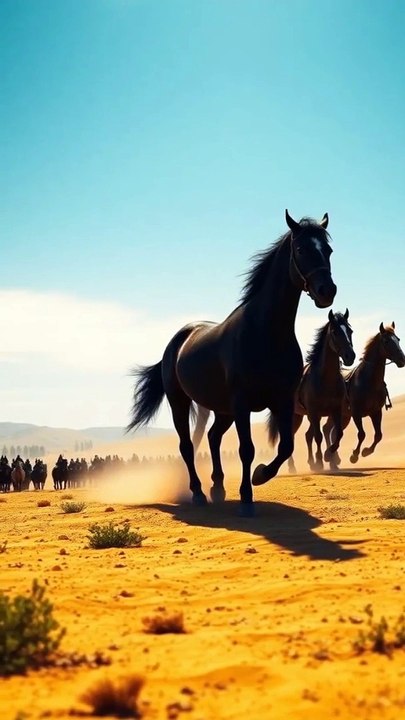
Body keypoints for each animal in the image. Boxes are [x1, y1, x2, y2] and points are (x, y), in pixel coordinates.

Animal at [128, 210, 337, 515]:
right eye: (300, 249)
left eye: (328, 250)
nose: (327, 291)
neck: (265, 333)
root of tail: (176, 342)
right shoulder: (242, 403)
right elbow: (246, 449)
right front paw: (247, 498)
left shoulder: (282, 401)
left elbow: (285, 446)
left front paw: (260, 475)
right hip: (182, 402)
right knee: (187, 446)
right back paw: (199, 493)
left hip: (222, 409)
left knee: (213, 437)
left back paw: (217, 487)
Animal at [269, 309, 355, 473]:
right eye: (334, 332)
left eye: (350, 331)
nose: (350, 356)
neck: (325, 379)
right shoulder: (314, 412)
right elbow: (318, 436)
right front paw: (321, 461)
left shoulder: (335, 410)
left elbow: (338, 433)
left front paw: (329, 458)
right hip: (296, 416)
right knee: (293, 436)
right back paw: (293, 467)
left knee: (307, 435)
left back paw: (311, 463)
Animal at [323, 322, 405, 465]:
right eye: (386, 341)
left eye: (398, 339)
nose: (402, 359)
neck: (369, 381)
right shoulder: (356, 413)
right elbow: (362, 434)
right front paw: (354, 455)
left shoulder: (376, 412)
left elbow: (378, 435)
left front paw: (366, 451)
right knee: (328, 429)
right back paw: (329, 454)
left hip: (344, 416)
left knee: (329, 429)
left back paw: (332, 456)